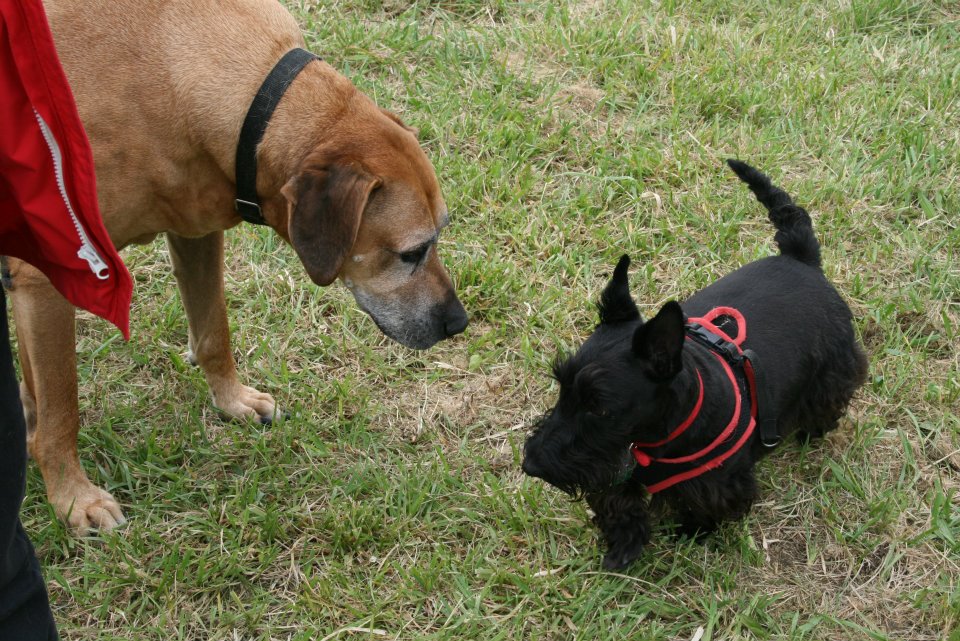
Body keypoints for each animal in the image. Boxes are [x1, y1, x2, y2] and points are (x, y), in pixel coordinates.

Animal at [6, 0, 467, 533]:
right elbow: (61, 407)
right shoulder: (46, 276)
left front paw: (232, 402)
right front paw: (72, 497)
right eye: (411, 253)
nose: (459, 323)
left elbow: (213, 333)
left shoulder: (195, 228)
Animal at [522, 160, 868, 570]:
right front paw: (623, 549)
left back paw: (813, 431)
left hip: (834, 369)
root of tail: (800, 258)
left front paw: (691, 533)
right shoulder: (615, 472)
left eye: (600, 408)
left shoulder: (716, 484)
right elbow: (621, 508)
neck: (655, 437)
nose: (531, 464)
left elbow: (700, 509)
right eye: (561, 387)